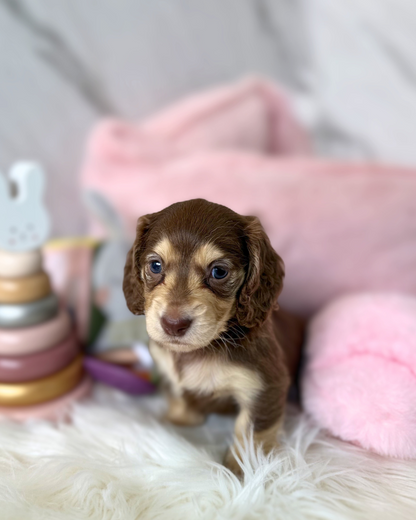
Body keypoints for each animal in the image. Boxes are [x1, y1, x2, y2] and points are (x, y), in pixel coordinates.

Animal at [123, 199, 304, 474]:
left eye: (219, 272)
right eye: (155, 265)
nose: (173, 324)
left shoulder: (266, 386)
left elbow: (250, 433)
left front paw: (242, 470)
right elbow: (179, 396)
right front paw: (177, 420)